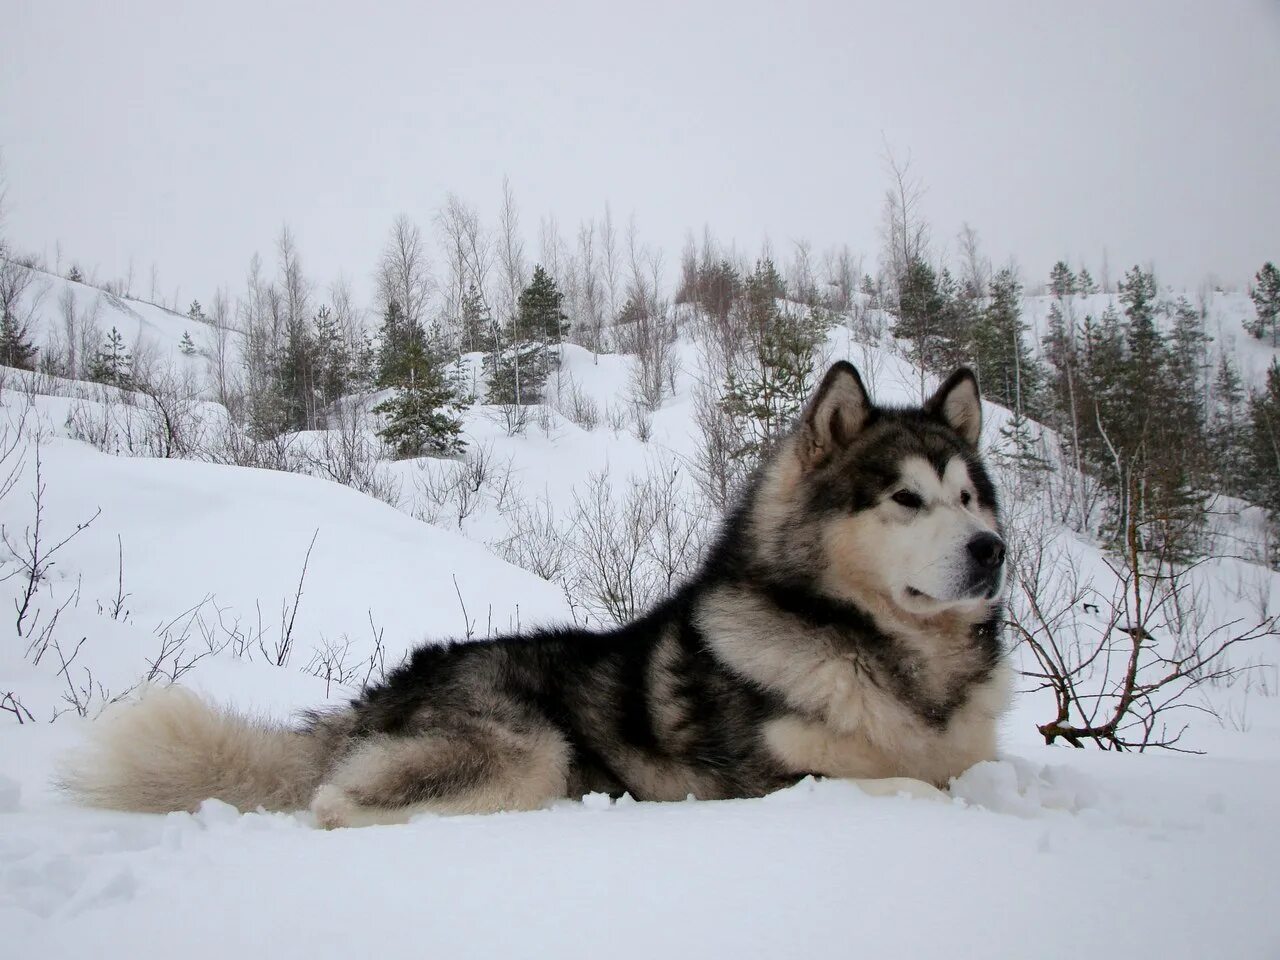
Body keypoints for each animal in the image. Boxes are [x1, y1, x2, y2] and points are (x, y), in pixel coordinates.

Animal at [64, 363, 1008, 829]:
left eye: (969, 497)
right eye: (905, 499)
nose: (993, 551)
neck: (885, 657)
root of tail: (385, 690)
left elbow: (962, 776)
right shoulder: (775, 783)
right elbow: (924, 791)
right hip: (529, 749)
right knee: (335, 806)